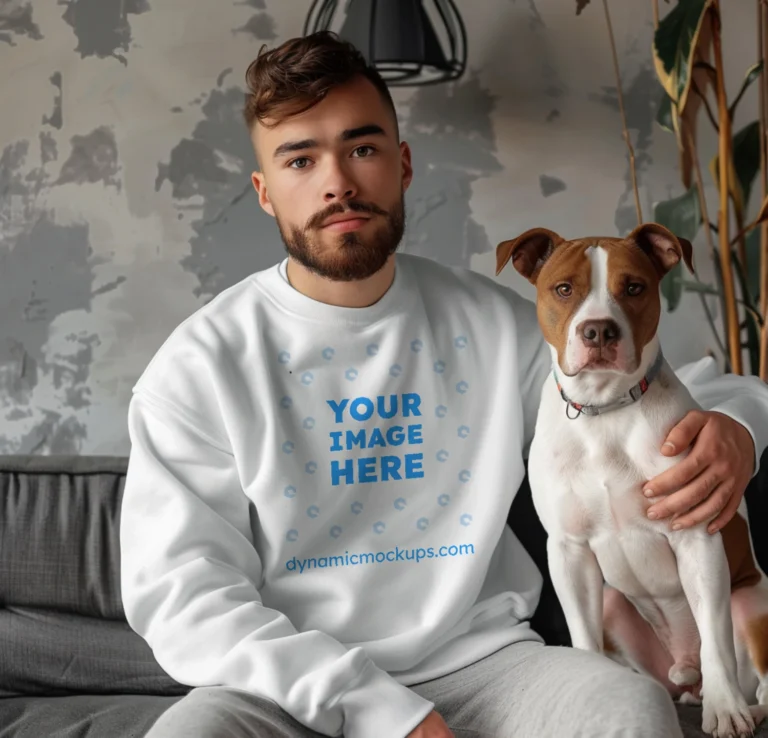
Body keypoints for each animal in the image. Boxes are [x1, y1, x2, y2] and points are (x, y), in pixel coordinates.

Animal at [496, 220, 768, 736]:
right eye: (564, 289)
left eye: (635, 288)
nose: (598, 329)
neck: (605, 410)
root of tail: (685, 673)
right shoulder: (568, 551)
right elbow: (582, 637)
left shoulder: (696, 537)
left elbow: (715, 637)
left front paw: (725, 710)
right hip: (613, 605)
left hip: (752, 604)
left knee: (753, 675)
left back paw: (743, 703)